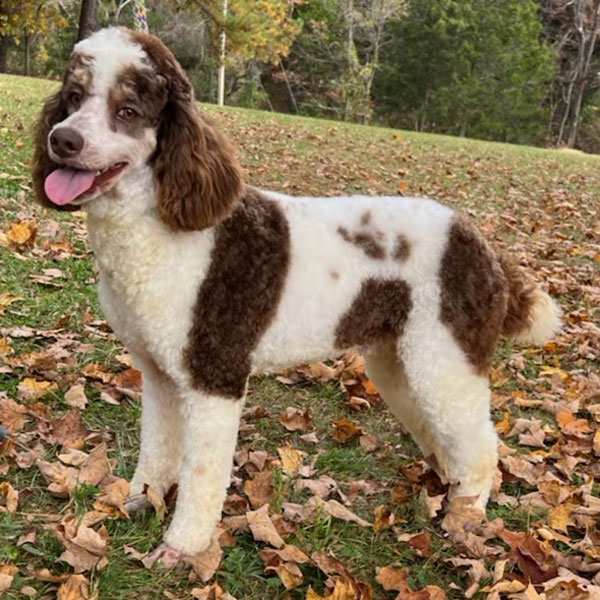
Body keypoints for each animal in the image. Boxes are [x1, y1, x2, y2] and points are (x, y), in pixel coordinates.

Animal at [30, 27, 560, 564]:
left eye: (128, 110)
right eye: (73, 98)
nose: (63, 139)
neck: (162, 226)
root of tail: (484, 246)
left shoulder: (214, 376)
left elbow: (202, 476)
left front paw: (182, 547)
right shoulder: (159, 373)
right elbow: (158, 448)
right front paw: (140, 500)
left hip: (445, 356)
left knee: (481, 445)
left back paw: (466, 514)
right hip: (401, 361)